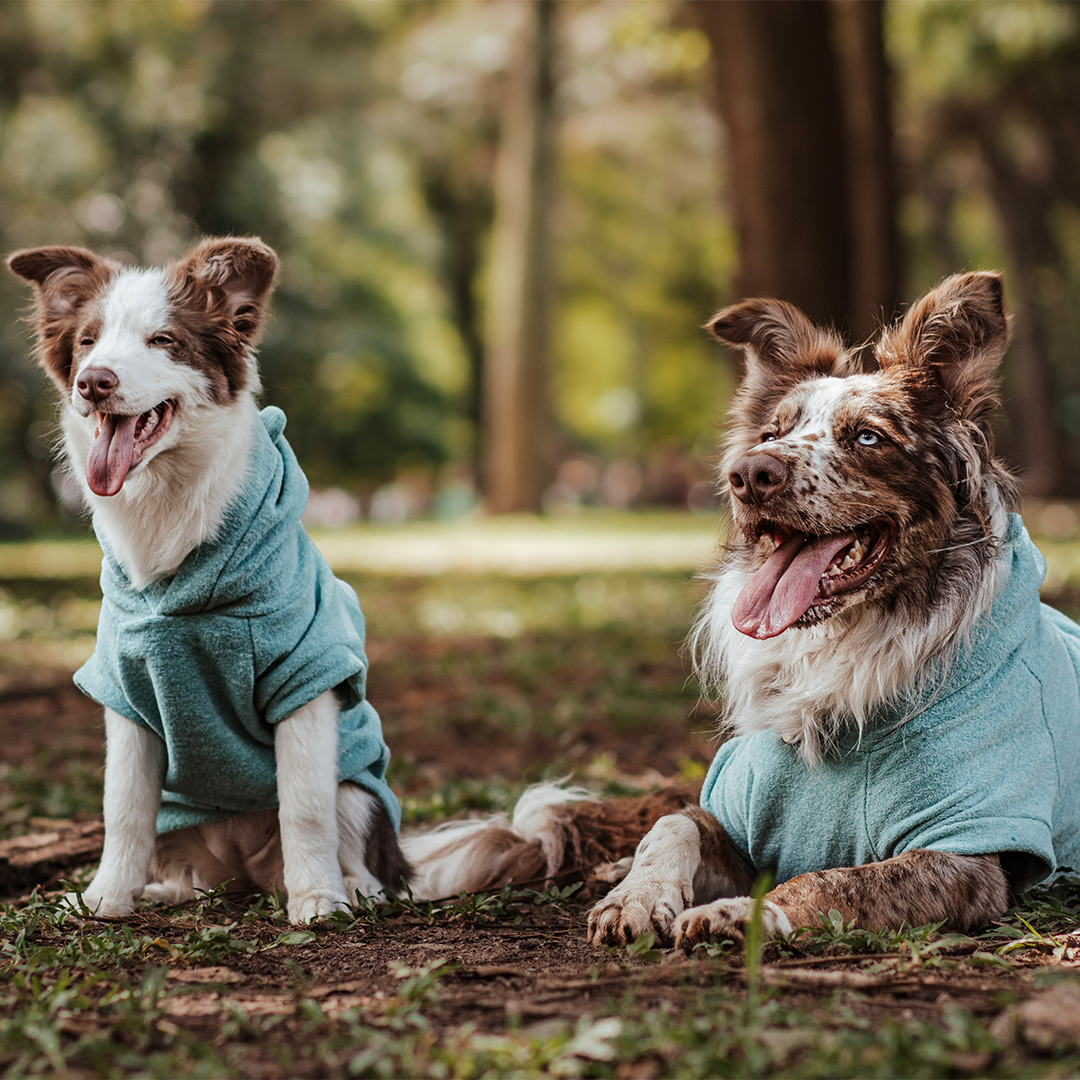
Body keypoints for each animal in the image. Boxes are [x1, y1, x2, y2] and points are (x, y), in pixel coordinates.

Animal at [7, 236, 408, 920]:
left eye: (163, 340)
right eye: (88, 341)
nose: (93, 382)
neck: (168, 507)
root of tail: (246, 874)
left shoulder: (305, 675)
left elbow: (305, 805)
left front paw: (319, 900)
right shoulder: (124, 686)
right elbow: (122, 807)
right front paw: (104, 898)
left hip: (361, 793)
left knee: (359, 842)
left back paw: (354, 887)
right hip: (183, 820)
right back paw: (163, 889)